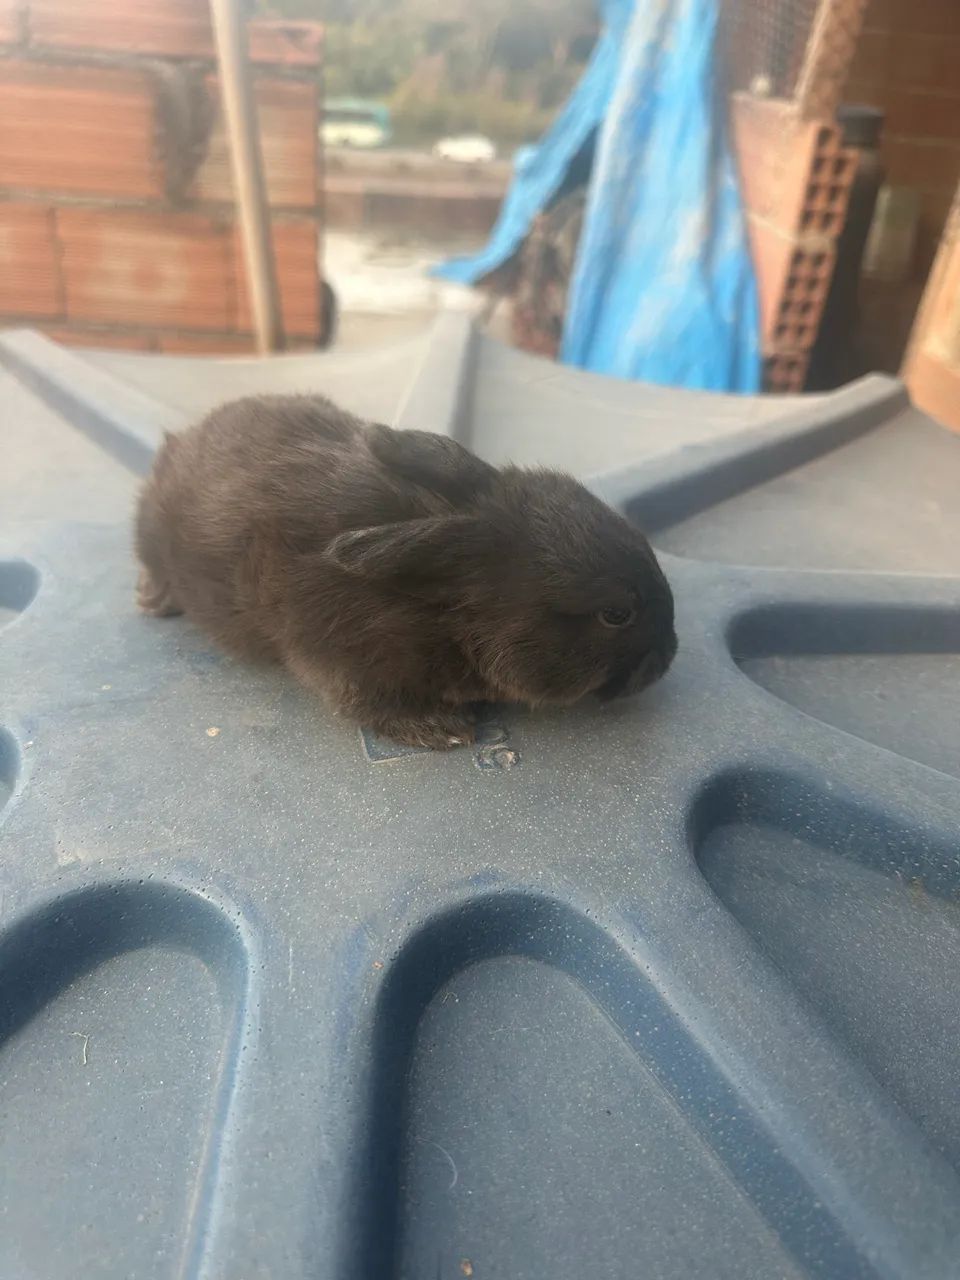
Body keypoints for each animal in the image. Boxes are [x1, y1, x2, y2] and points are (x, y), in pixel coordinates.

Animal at [135, 394, 677, 749]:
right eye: (616, 614)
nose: (670, 653)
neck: (445, 613)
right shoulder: (342, 659)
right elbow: (374, 708)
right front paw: (442, 730)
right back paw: (152, 598)